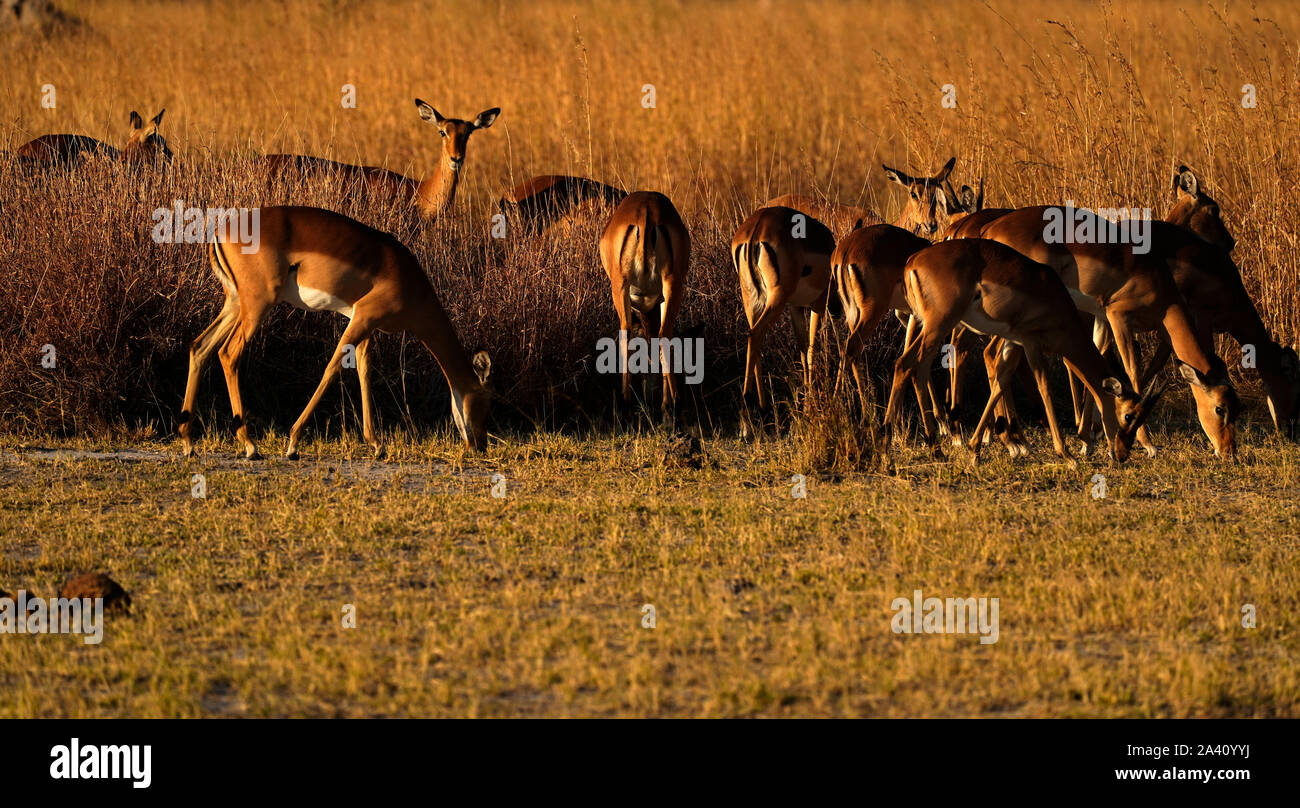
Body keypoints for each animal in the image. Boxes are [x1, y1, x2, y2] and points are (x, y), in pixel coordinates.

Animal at [178, 206, 492, 459]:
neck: (410, 281)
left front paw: (377, 445)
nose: (481, 446)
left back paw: (188, 443)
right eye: (485, 399)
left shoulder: (365, 324)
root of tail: (220, 232)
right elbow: (333, 368)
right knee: (228, 353)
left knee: (200, 347)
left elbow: (364, 372)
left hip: (235, 304)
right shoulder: (364, 317)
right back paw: (250, 446)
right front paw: (293, 443)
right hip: (258, 305)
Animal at [599, 191, 691, 417]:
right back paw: (671, 405)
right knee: (664, 335)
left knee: (626, 333)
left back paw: (628, 403)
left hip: (620, 287)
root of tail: (647, 211)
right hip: (672, 285)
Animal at [732, 205, 834, 425]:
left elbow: (802, 348)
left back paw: (762, 408)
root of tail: (757, 226)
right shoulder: (817, 305)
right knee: (755, 335)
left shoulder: (795, 307)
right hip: (775, 298)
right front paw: (809, 408)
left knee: (754, 339)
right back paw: (750, 410)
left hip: (751, 299)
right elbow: (812, 349)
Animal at [882, 238, 1162, 463]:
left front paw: (974, 450)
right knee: (905, 364)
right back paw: (889, 449)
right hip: (939, 324)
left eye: (1142, 416)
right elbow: (1044, 386)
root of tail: (913, 262)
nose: (1122, 454)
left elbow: (1000, 382)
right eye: (1128, 415)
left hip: (933, 326)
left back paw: (935, 450)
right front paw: (1067, 455)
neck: (1055, 298)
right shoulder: (1030, 341)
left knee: (916, 368)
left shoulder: (1012, 341)